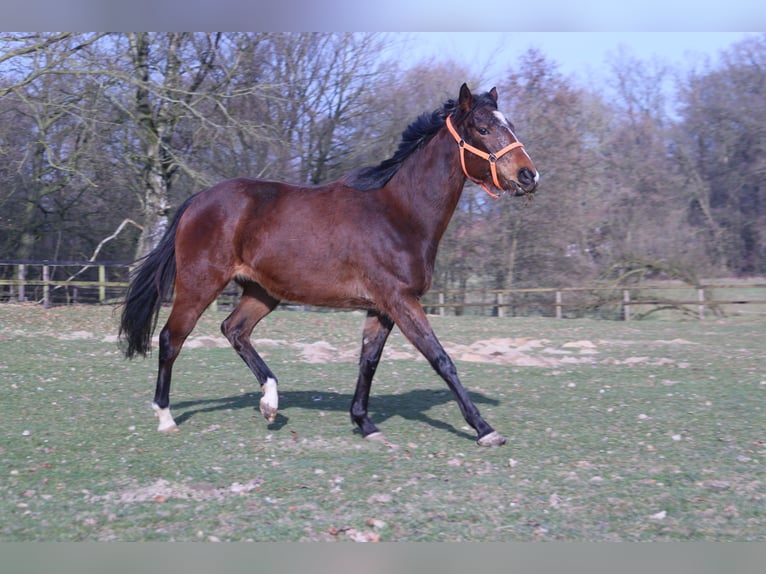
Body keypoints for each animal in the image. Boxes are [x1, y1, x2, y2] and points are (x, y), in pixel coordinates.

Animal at [120, 83, 540, 448]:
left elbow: (368, 361)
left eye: (510, 125)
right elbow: (441, 359)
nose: (529, 175)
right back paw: (166, 417)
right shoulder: (401, 301)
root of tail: (199, 199)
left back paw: (270, 401)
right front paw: (485, 429)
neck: (399, 214)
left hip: (262, 292)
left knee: (234, 330)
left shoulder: (381, 308)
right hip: (200, 284)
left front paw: (365, 422)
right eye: (483, 128)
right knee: (171, 339)